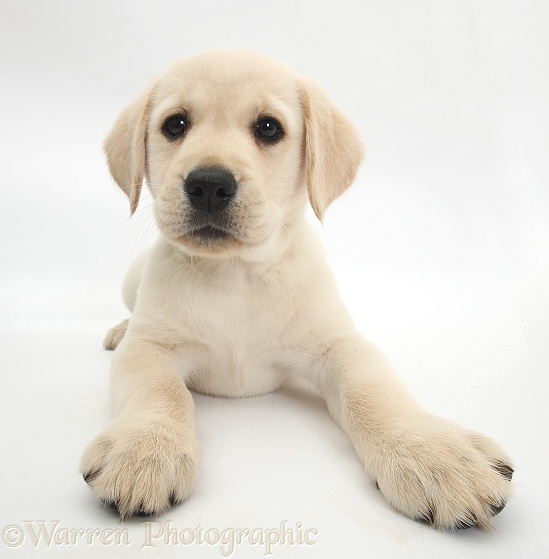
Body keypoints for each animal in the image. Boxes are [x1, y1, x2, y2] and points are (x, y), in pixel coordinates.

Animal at [80, 50, 510, 532]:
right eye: (175, 125)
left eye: (269, 128)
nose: (208, 184)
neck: (236, 275)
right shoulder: (149, 348)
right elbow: (159, 391)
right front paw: (145, 447)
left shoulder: (340, 344)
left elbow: (374, 393)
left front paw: (433, 452)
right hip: (131, 279)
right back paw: (119, 329)